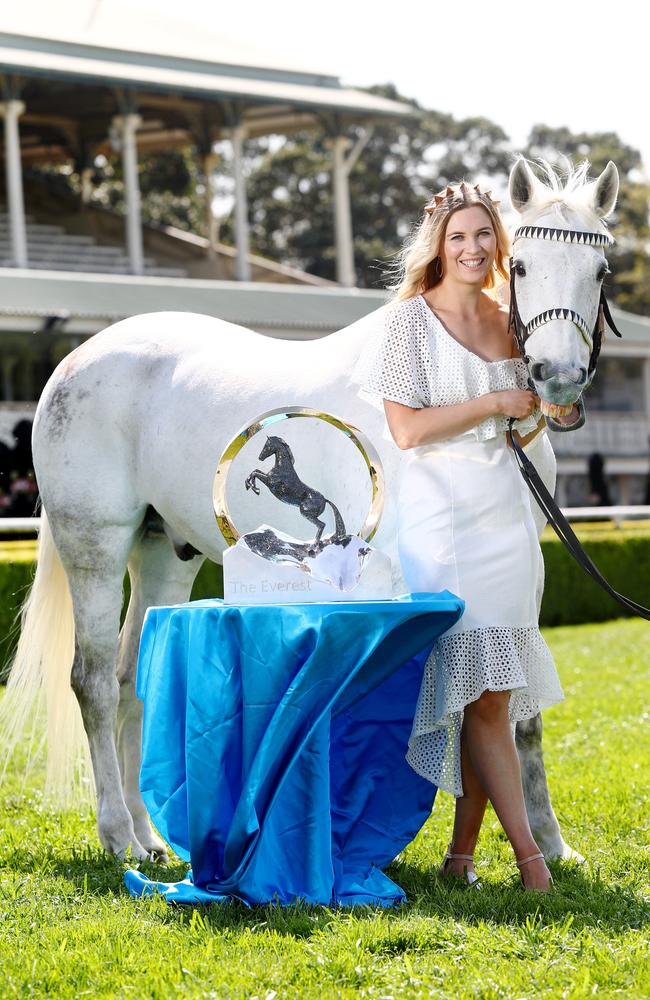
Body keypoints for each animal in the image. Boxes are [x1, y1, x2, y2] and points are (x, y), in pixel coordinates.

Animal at [0, 160, 616, 864]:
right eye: (521, 266)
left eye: (599, 271)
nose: (556, 376)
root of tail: (77, 359)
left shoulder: (522, 573)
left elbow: (520, 715)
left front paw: (551, 847)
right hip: (95, 549)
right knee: (95, 681)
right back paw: (117, 836)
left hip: (162, 555)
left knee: (132, 679)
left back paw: (149, 838)